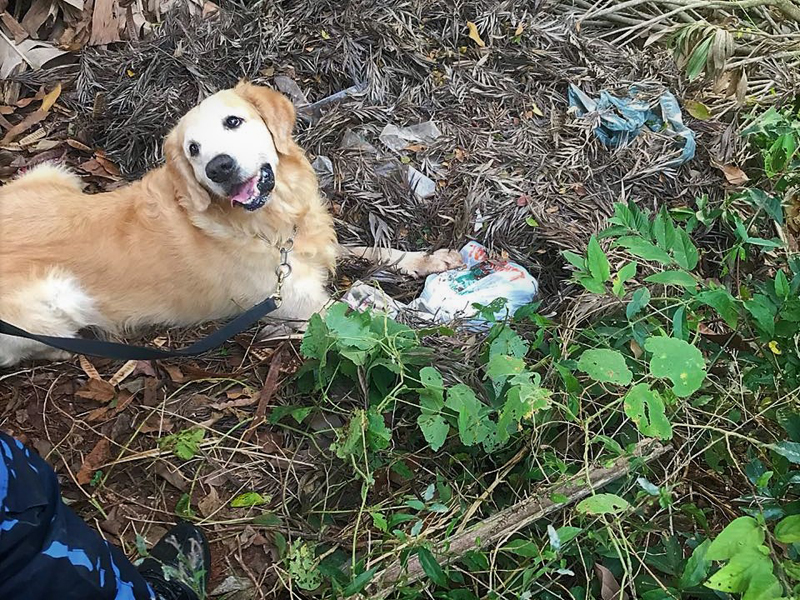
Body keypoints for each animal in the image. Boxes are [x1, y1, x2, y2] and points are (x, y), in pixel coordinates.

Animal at [0, 82, 462, 368]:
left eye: (234, 122)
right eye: (193, 149)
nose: (219, 167)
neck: (269, 222)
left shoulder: (311, 249)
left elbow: (376, 250)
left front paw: (429, 261)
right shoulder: (303, 307)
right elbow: (383, 325)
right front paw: (448, 330)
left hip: (56, 173)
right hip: (55, 303)